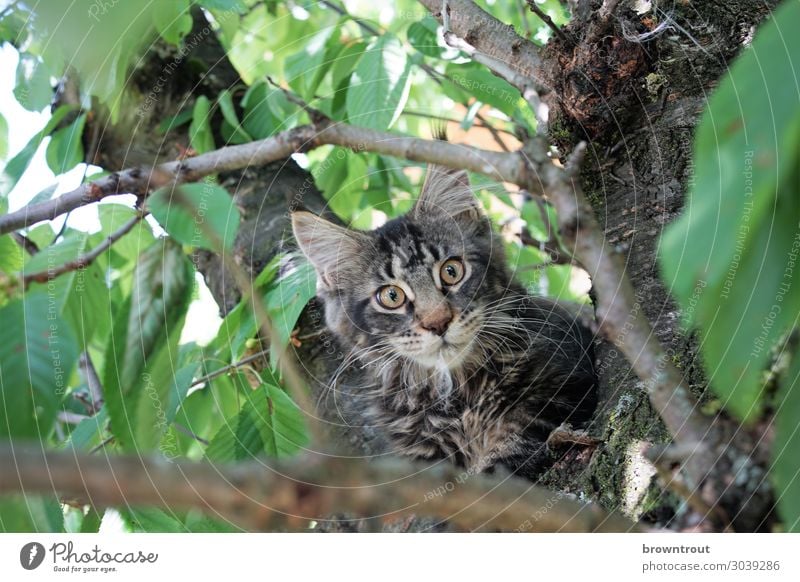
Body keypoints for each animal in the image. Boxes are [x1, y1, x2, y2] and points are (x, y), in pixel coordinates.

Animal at [290, 164, 596, 480]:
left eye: (451, 271)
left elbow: (509, 452)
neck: (460, 394)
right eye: (391, 296)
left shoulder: (561, 387)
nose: (438, 323)